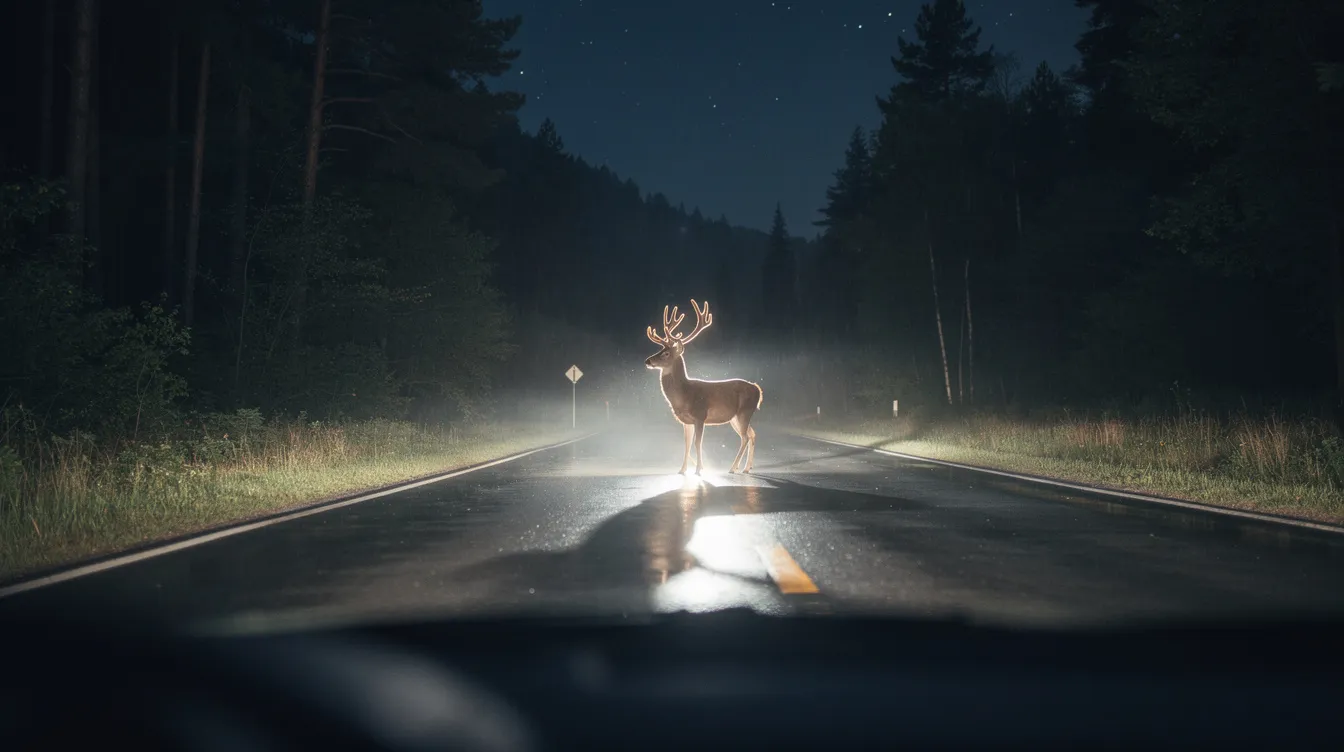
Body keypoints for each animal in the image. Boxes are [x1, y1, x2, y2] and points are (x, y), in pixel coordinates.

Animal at [645, 299, 762, 475]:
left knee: (745, 437)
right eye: (659, 349)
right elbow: (686, 444)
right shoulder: (686, 421)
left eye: (666, 353)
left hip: (745, 411)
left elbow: (697, 443)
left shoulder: (700, 415)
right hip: (735, 417)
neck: (684, 396)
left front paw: (699, 469)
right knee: (752, 434)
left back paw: (733, 467)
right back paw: (747, 468)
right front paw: (682, 470)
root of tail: (757, 389)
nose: (648, 361)